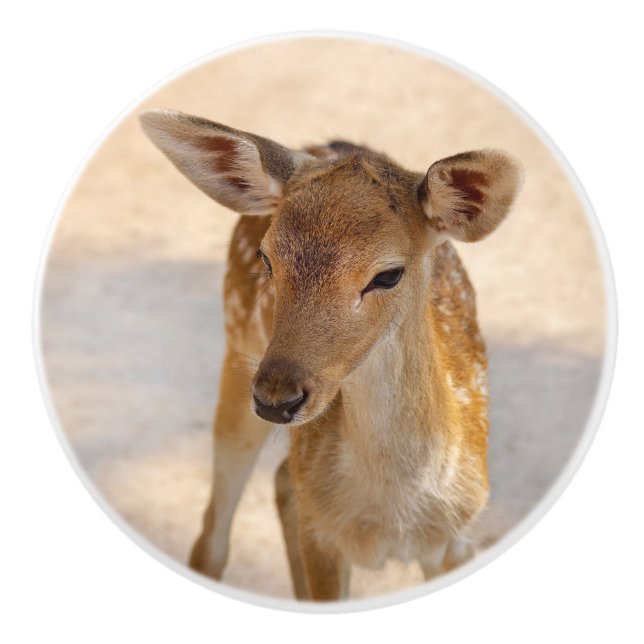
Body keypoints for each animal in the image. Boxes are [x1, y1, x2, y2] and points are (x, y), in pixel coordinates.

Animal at [140, 110, 522, 601]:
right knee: (213, 535)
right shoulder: (322, 536)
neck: (390, 518)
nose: (276, 398)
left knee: (282, 480)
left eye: (388, 274)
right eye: (267, 259)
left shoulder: (458, 538)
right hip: (237, 348)